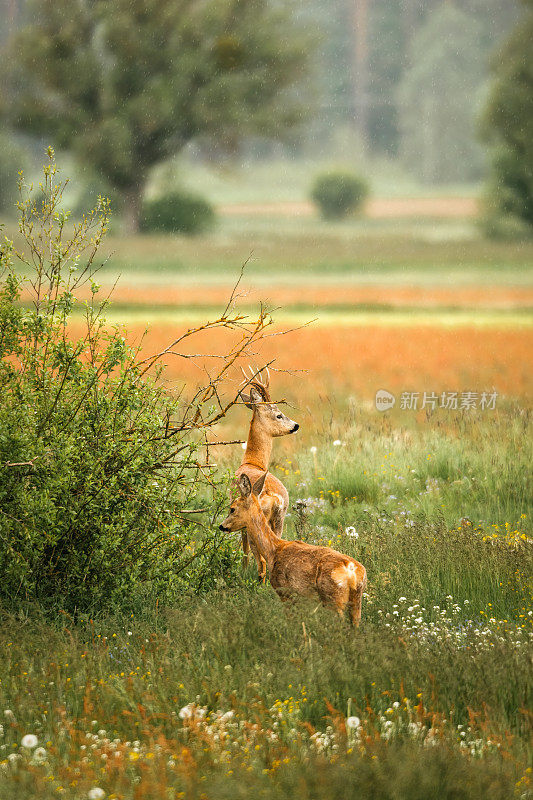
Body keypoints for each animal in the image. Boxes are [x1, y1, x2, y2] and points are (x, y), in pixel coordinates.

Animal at [219, 476, 366, 624]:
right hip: (355, 601)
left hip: (334, 598)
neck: (273, 550)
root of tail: (352, 570)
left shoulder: (284, 590)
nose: (221, 526)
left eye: (232, 509)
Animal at [234, 366, 298, 580]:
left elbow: (244, 550)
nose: (296, 425)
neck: (252, 462)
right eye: (279, 415)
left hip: (256, 521)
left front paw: (243, 571)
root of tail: (272, 496)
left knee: (260, 560)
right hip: (280, 519)